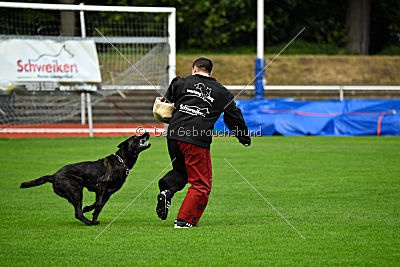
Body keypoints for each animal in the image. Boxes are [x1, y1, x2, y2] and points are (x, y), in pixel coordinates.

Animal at [19, 132, 150, 226]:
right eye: (135, 137)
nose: (147, 132)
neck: (121, 161)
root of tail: (53, 175)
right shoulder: (101, 186)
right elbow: (97, 203)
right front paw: (87, 209)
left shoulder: (108, 193)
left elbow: (99, 207)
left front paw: (94, 218)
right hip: (76, 191)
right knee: (78, 213)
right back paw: (88, 222)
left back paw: (90, 222)